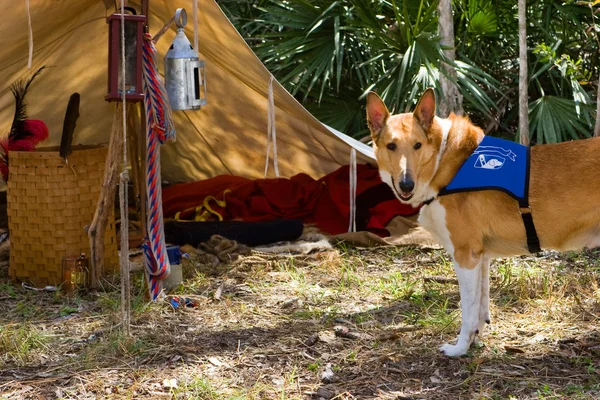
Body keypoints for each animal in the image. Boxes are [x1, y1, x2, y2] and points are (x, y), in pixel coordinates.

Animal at [366, 89, 600, 358]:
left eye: (417, 145)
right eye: (391, 146)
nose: (406, 185)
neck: (442, 160)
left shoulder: (465, 256)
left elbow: (467, 310)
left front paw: (459, 348)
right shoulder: (482, 257)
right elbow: (481, 306)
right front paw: (475, 341)